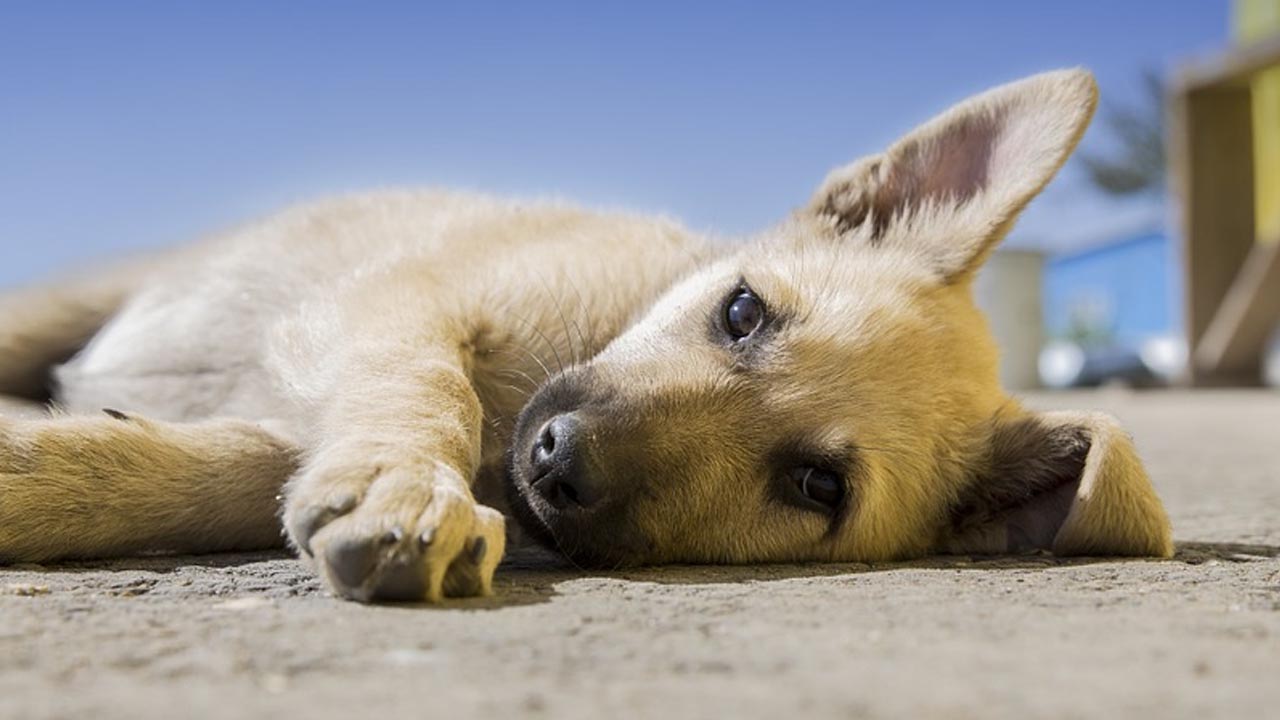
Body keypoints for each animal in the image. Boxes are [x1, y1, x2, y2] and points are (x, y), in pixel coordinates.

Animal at [0, 68, 1172, 599]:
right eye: (742, 312)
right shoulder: (395, 300)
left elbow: (205, 471)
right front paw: (404, 485)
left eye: (816, 487)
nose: (557, 462)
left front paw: (45, 475)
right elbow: (424, 383)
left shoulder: (304, 419)